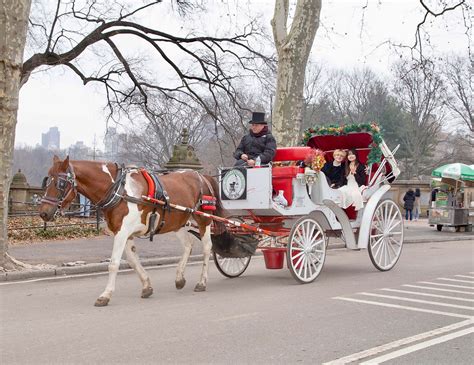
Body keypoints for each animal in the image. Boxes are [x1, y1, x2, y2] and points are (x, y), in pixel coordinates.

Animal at [38, 155, 224, 306]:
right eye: (47, 180)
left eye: (60, 183)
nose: (44, 213)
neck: (119, 190)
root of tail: (202, 176)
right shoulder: (125, 234)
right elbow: (133, 261)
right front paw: (147, 286)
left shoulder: (122, 233)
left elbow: (113, 263)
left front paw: (105, 295)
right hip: (177, 223)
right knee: (188, 245)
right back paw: (179, 278)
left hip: (203, 219)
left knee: (207, 247)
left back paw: (202, 282)